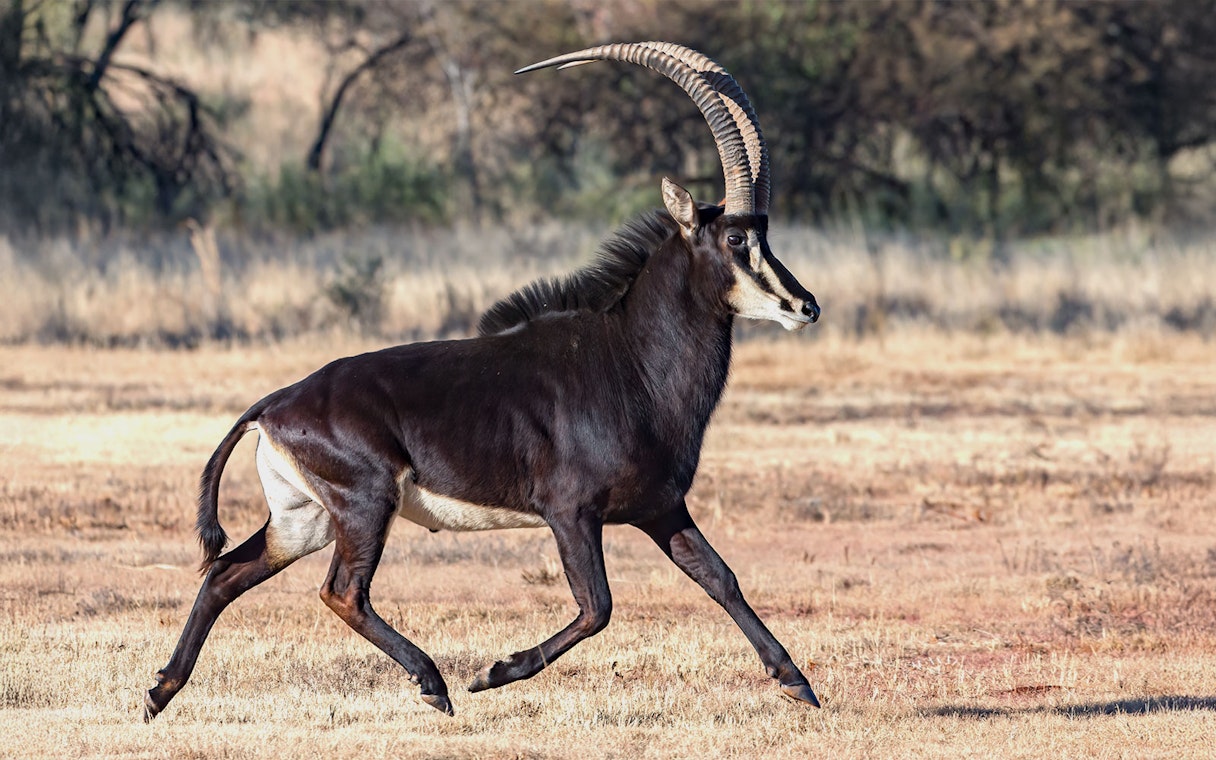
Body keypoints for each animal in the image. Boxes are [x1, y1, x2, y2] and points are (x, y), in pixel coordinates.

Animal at [144, 41, 821, 721]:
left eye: (765, 235)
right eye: (734, 237)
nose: (805, 306)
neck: (631, 361)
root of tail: (273, 405)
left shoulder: (661, 507)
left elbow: (721, 578)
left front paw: (798, 682)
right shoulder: (570, 512)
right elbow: (597, 608)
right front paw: (495, 672)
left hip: (303, 519)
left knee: (225, 574)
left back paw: (160, 691)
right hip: (365, 504)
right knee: (342, 592)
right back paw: (435, 682)